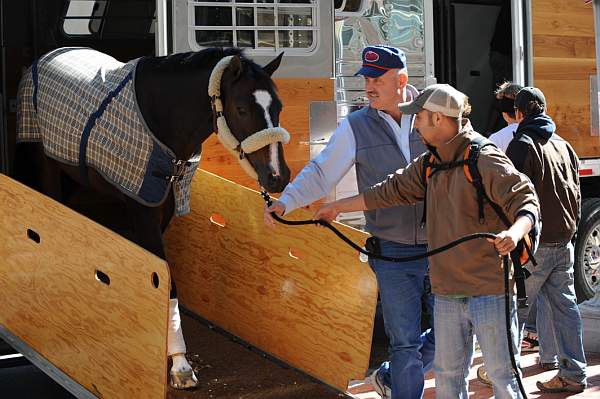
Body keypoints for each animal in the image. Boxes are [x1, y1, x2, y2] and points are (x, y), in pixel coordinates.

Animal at [13, 47, 290, 390]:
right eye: (241, 109)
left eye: (278, 107)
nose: (278, 176)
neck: (161, 121)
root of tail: (45, 57)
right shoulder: (142, 208)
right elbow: (166, 279)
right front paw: (180, 366)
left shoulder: (163, 208)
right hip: (48, 167)